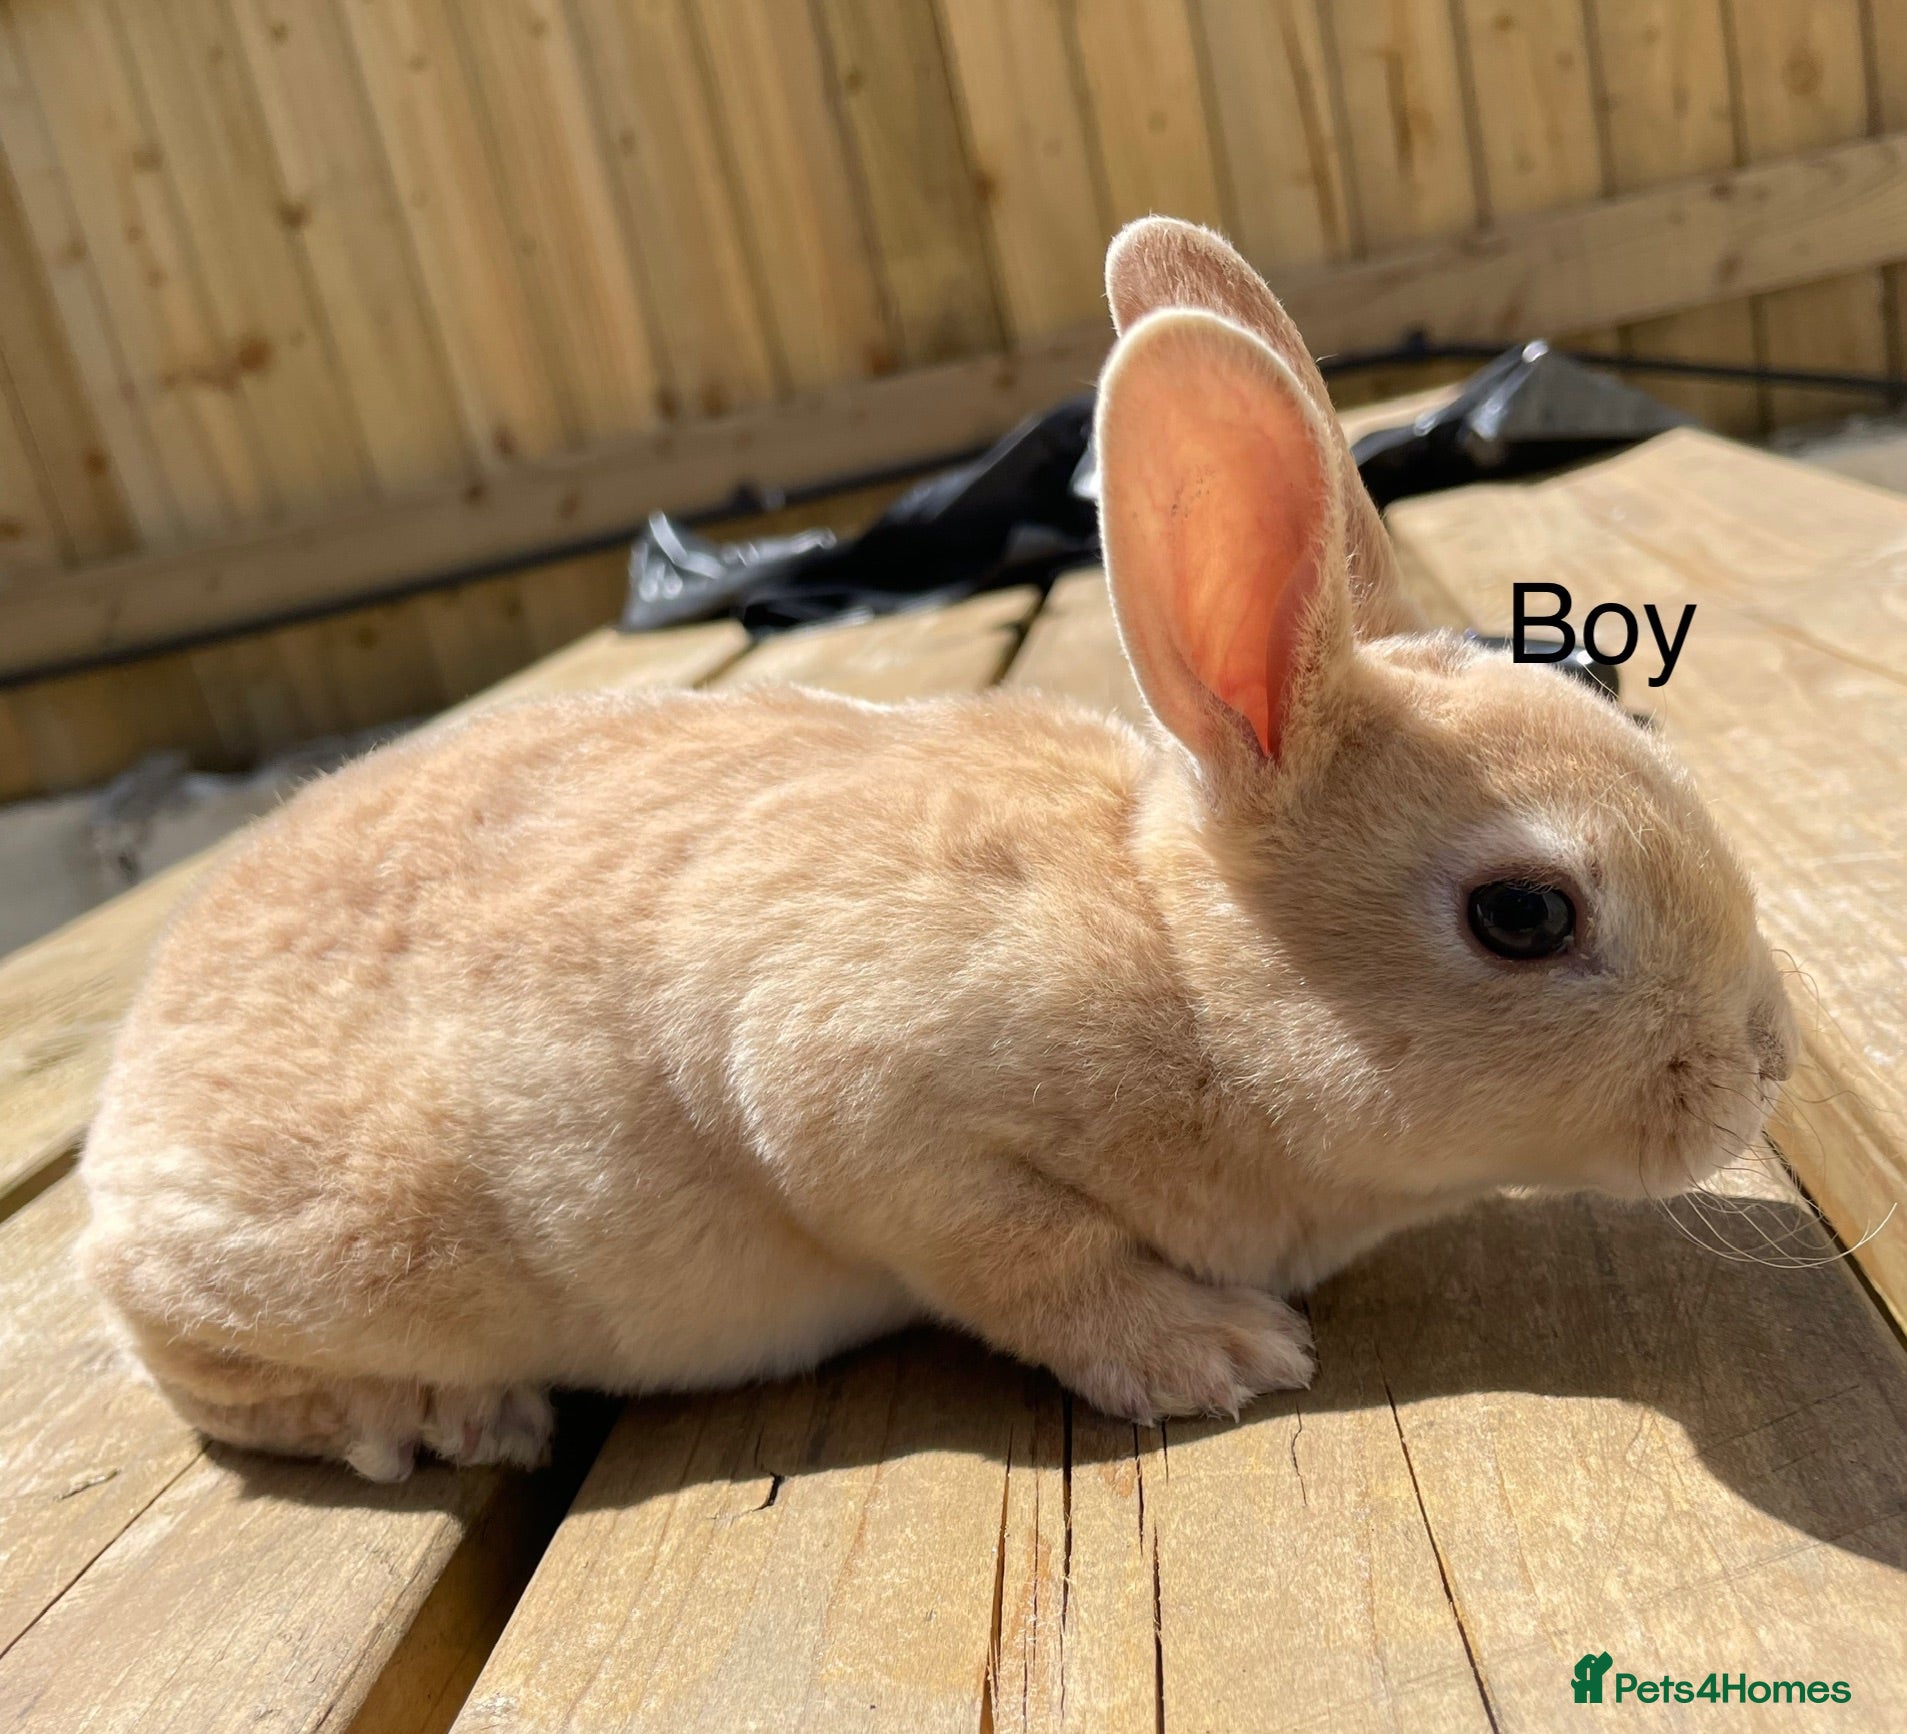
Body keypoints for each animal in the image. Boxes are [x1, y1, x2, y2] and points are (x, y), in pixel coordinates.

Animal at [78, 218, 1796, 1480]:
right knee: (194, 1365)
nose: (1763, 1060)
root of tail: (124, 1093)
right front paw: (1221, 1356)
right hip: (323, 1267)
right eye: (1522, 915)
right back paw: (440, 1420)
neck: (1185, 973)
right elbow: (1029, 1256)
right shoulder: (858, 1109)